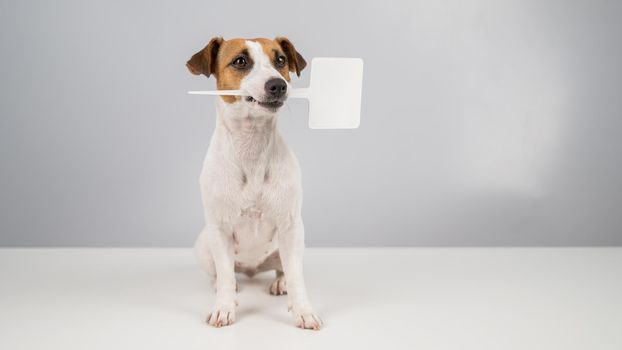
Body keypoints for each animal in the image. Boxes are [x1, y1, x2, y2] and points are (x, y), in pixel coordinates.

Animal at [185, 37, 322, 330]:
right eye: (240, 61)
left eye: (280, 60)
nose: (278, 85)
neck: (252, 145)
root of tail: (251, 269)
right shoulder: (220, 228)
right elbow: (225, 275)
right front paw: (224, 307)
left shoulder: (291, 226)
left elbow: (297, 277)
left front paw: (303, 310)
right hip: (204, 244)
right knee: (222, 272)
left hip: (291, 243)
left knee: (283, 268)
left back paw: (280, 282)